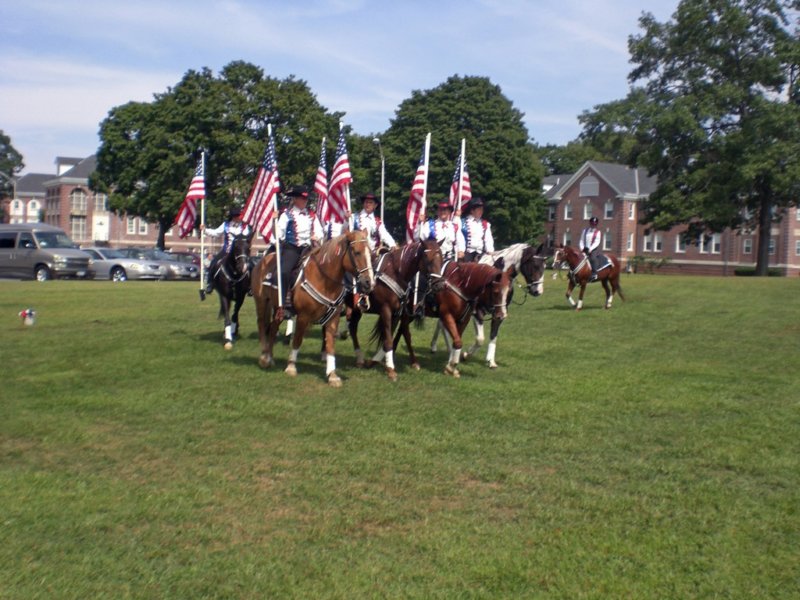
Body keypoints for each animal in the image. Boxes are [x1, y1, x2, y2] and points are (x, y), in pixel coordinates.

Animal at [250, 230, 376, 390]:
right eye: (356, 252)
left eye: (371, 253)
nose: (369, 283)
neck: (324, 279)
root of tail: (262, 261)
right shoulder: (303, 317)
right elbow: (297, 340)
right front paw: (291, 367)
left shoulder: (333, 318)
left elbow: (330, 345)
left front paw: (332, 375)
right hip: (262, 302)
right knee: (262, 325)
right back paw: (264, 357)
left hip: (278, 309)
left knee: (272, 328)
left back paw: (269, 357)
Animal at [348, 239, 444, 380]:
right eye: (427, 258)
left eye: (441, 257)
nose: (439, 285)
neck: (396, 273)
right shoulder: (386, 310)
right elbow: (388, 339)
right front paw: (390, 369)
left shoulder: (401, 312)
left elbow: (405, 335)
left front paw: (413, 362)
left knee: (352, 328)